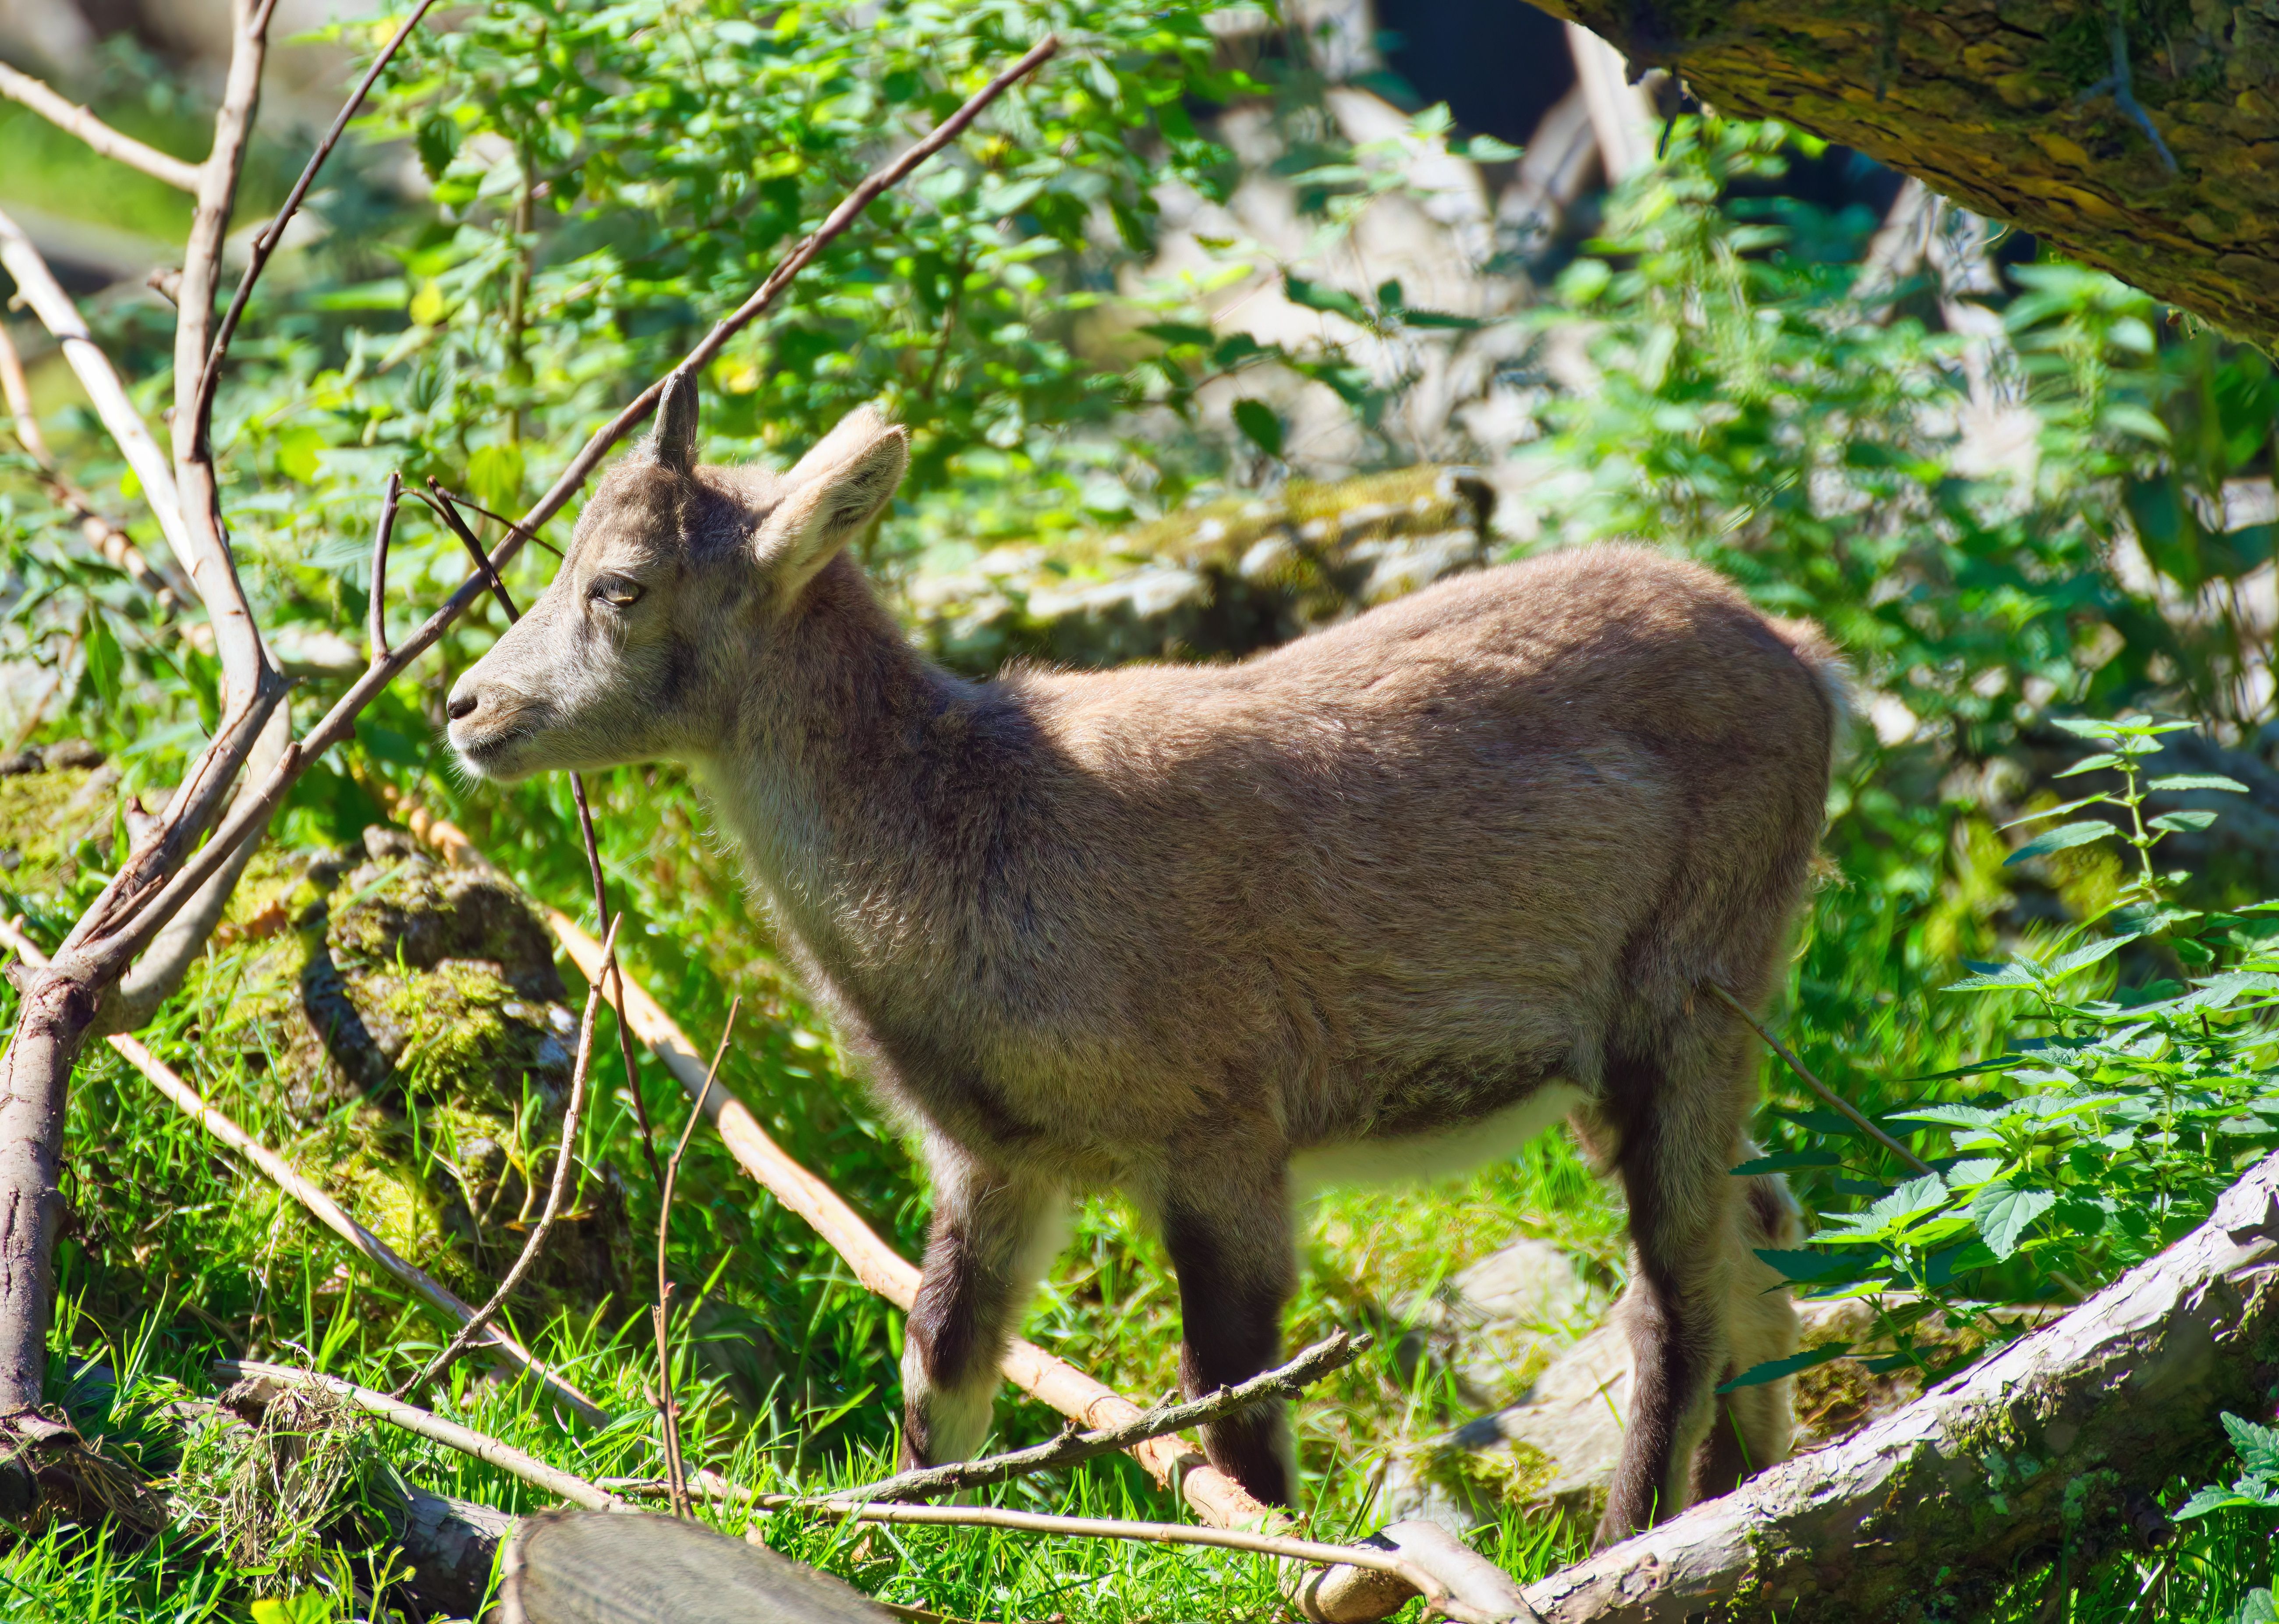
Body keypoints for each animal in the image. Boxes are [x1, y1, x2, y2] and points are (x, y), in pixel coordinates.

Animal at [446, 378, 1842, 1544]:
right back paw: (1748, 1478)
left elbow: (1232, 1395)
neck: (971, 825)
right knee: (1757, 1221)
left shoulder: (1222, 1140)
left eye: (621, 584)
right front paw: (910, 1535)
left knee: (1673, 1294)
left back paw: (1637, 1531)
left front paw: (1270, 1554)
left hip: (1687, 995)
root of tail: (1805, 661)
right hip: (1643, 1051)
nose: (465, 707)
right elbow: (943, 1360)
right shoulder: (996, 1160)